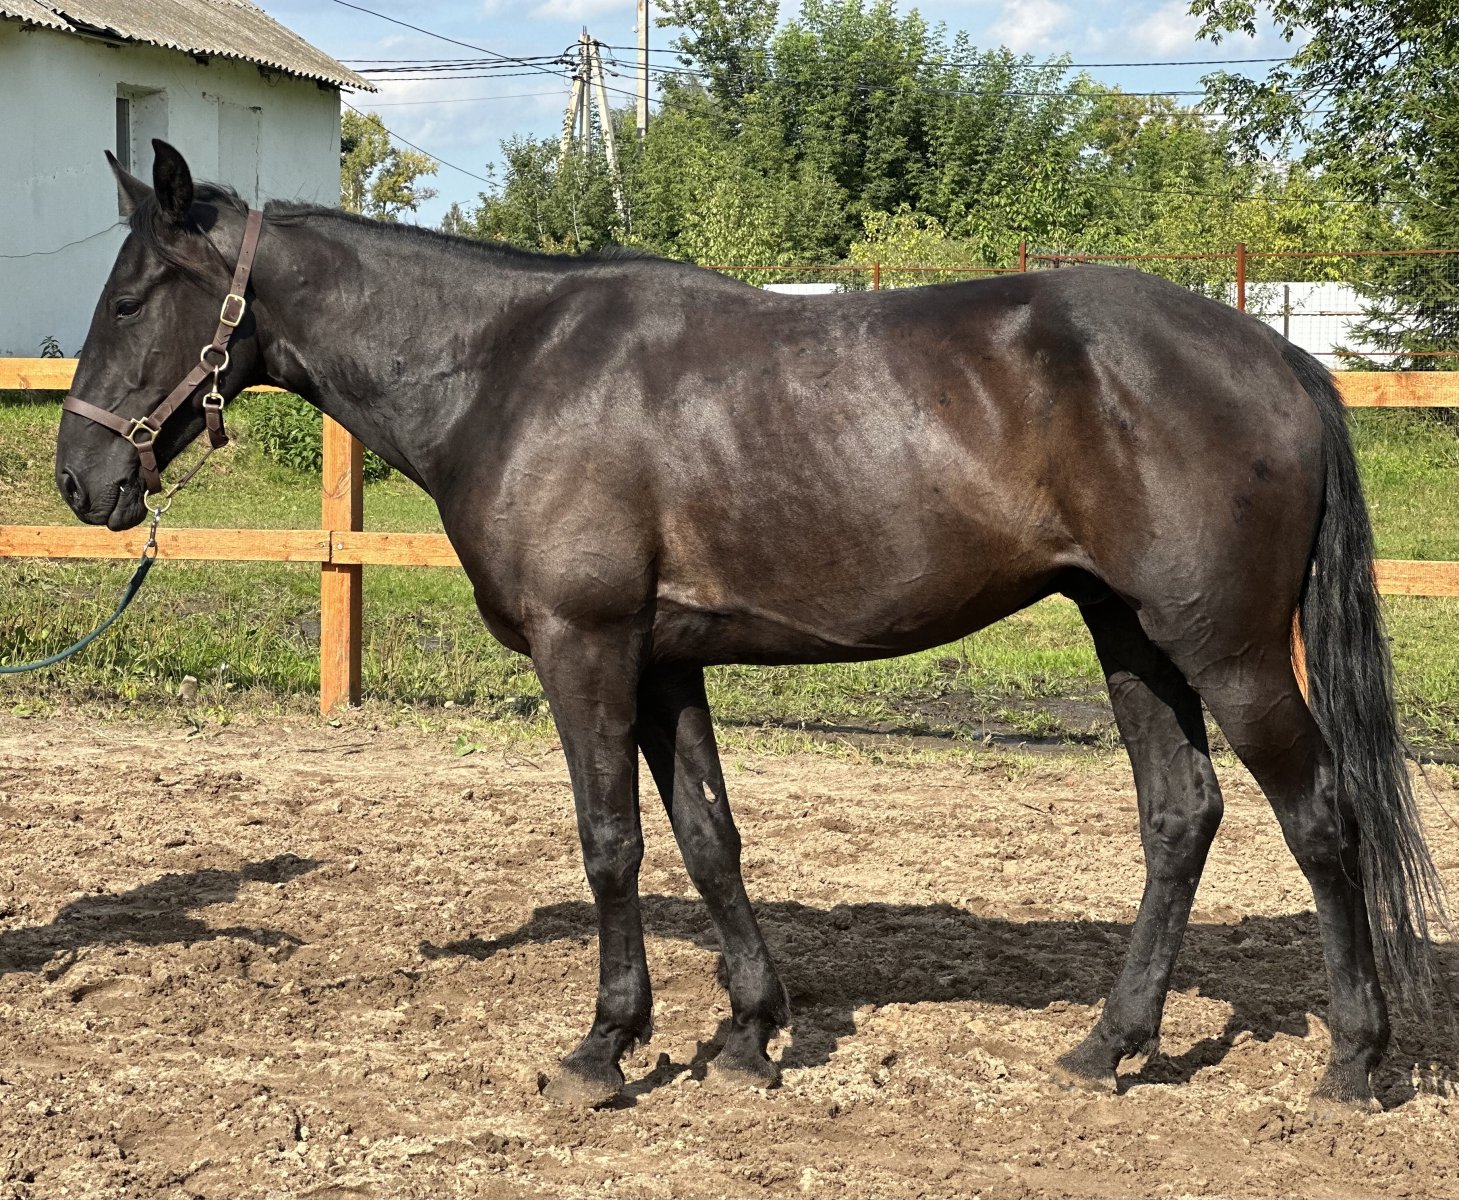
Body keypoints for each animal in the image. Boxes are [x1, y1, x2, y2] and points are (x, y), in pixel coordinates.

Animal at [54, 140, 1443, 1109]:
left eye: (127, 302)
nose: (80, 479)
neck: (509, 367)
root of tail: (1284, 360)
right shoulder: (666, 663)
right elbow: (709, 839)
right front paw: (744, 1034)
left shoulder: (587, 649)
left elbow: (612, 843)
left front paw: (604, 1049)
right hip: (1133, 636)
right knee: (1180, 816)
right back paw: (1108, 1045)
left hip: (1229, 648)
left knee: (1320, 819)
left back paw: (1350, 1061)